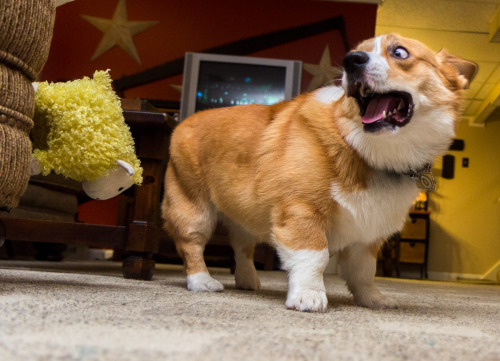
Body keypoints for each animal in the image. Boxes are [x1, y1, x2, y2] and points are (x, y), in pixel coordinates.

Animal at [163, 32, 476, 310]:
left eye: (399, 52)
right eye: (356, 50)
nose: (352, 60)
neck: (368, 151)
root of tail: (183, 122)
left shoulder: (368, 235)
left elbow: (364, 272)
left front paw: (372, 300)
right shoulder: (302, 212)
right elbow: (314, 258)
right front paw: (308, 296)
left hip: (244, 214)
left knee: (242, 247)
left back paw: (247, 280)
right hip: (194, 210)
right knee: (191, 246)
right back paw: (202, 280)